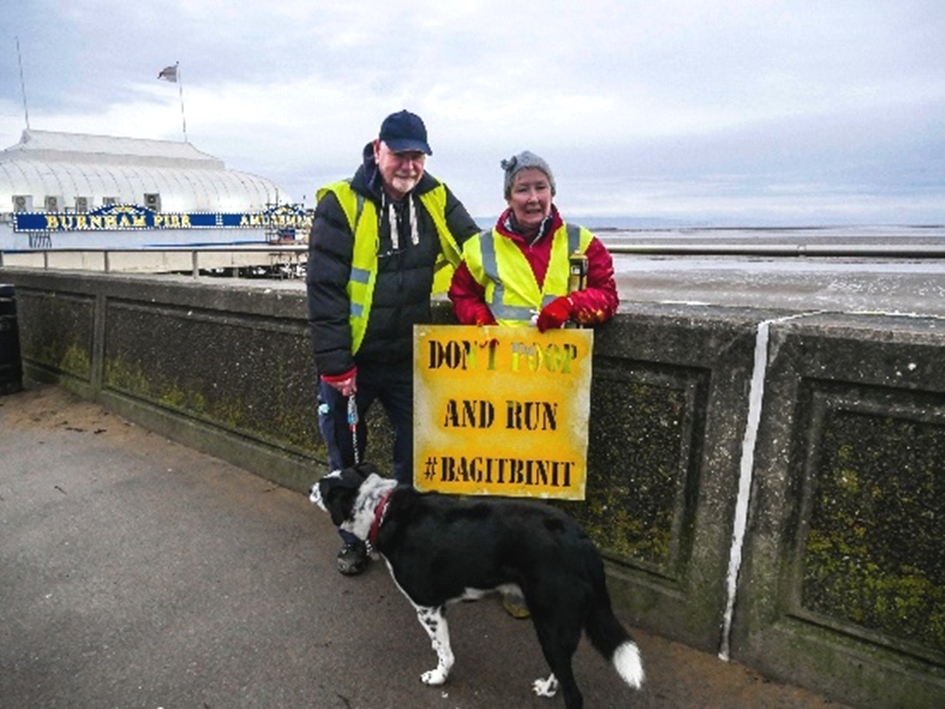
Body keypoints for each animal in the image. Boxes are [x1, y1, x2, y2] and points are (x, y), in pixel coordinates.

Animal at [310, 462, 640, 704]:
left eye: (323, 488)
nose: (310, 487)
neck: (382, 509)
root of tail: (582, 541)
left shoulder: (428, 607)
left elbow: (443, 651)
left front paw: (438, 678)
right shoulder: (437, 608)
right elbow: (442, 646)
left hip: (551, 624)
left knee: (574, 693)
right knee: (561, 671)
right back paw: (547, 688)